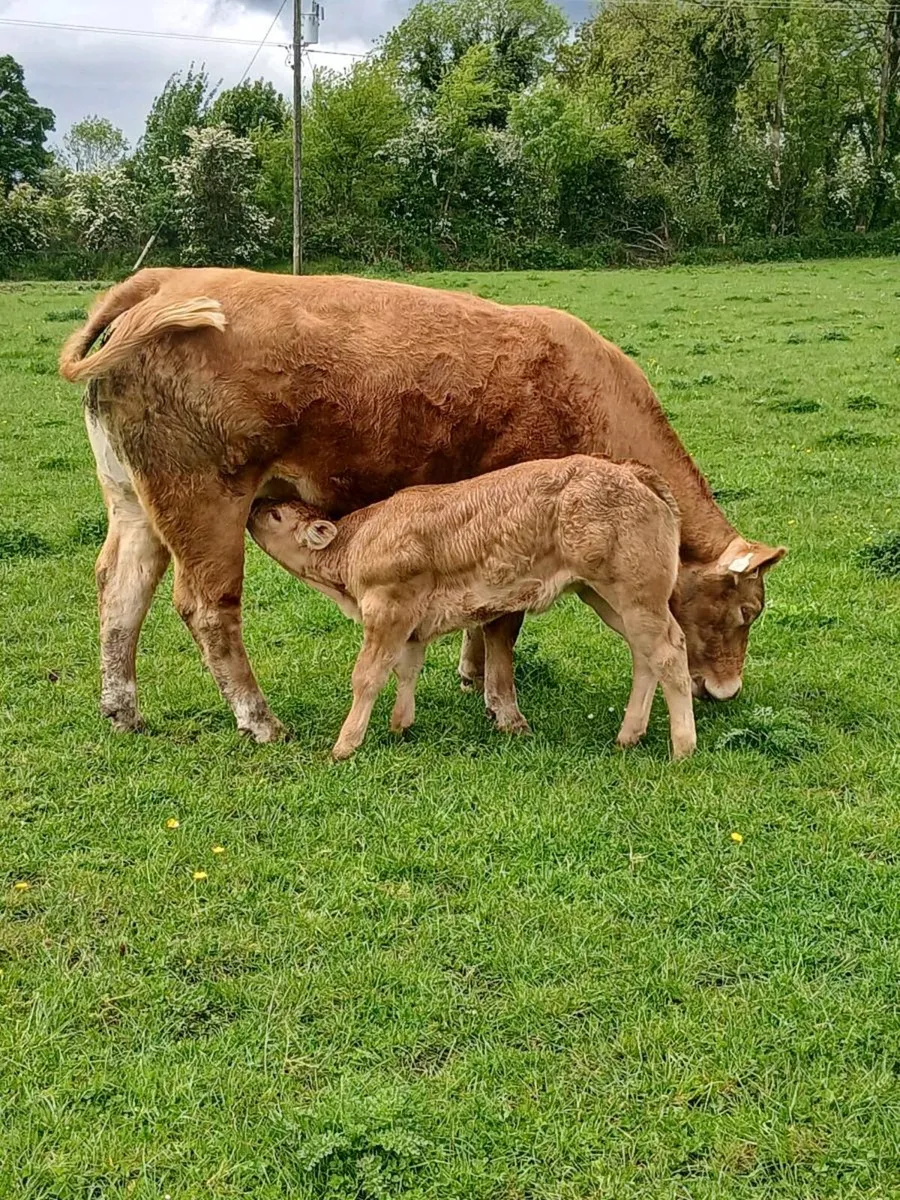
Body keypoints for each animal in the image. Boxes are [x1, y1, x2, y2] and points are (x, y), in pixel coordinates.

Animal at [247, 456, 697, 760]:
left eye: (276, 513)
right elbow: (407, 669)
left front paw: (345, 744)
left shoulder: (388, 608)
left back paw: (682, 747)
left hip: (637, 592)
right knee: (644, 654)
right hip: (606, 596)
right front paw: (400, 725)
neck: (358, 543)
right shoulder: (411, 621)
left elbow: (368, 676)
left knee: (668, 652)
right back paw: (629, 734)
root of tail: (631, 470)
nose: (252, 508)